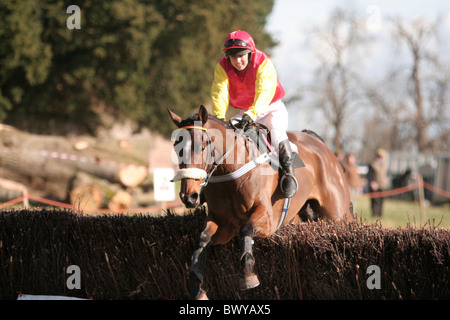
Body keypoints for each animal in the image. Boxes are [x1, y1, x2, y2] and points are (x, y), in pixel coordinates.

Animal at [168, 105, 352, 300]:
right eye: (177, 149)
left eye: (202, 147)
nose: (189, 196)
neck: (229, 172)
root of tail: (320, 144)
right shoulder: (224, 223)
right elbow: (202, 241)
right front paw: (197, 287)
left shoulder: (267, 220)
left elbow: (246, 230)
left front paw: (248, 275)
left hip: (337, 214)